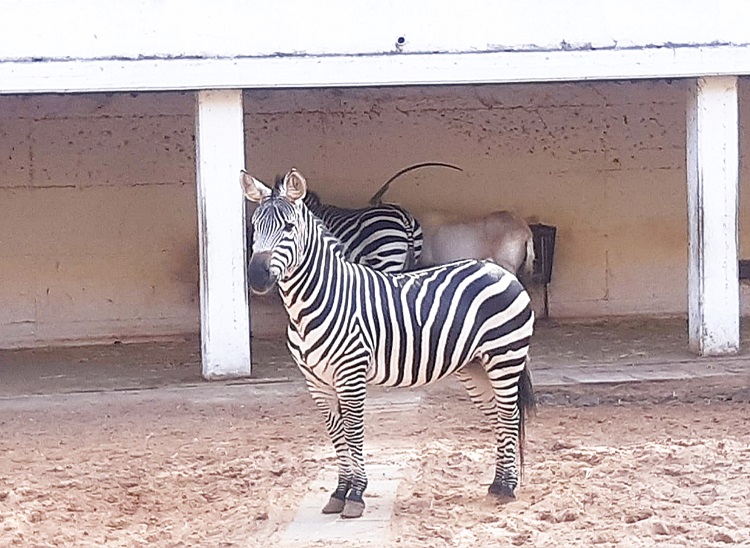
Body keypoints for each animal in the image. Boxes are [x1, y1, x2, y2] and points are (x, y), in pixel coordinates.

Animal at [241, 167, 536, 520]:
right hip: (475, 366)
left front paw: (356, 495)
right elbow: (337, 434)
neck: (316, 302)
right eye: (254, 226)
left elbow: (353, 432)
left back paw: (508, 488)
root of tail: (500, 271)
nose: (256, 277)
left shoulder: (351, 375)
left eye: (288, 227)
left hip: (505, 356)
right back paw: (497, 485)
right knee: (497, 416)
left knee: (510, 416)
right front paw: (338, 493)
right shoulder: (317, 382)